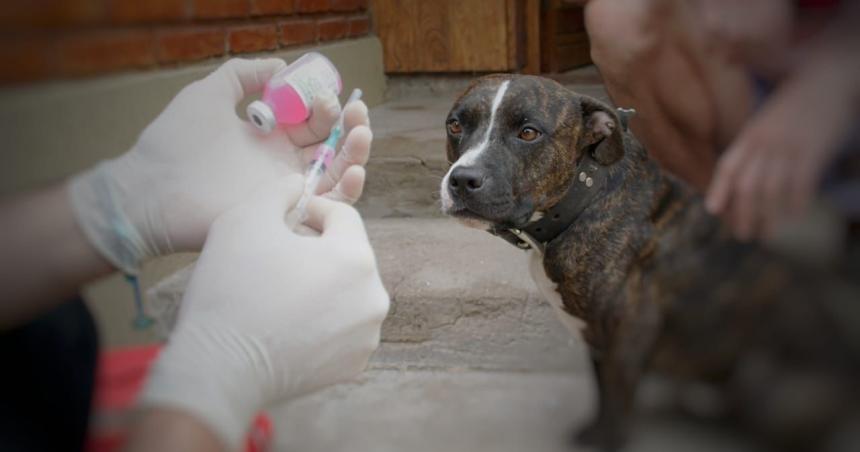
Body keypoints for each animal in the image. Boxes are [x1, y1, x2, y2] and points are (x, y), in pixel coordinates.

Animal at [440, 75, 856, 452]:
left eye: (528, 133)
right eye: (455, 125)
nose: (462, 180)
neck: (584, 201)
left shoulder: (628, 335)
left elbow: (617, 403)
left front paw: (609, 441)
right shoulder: (598, 340)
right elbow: (603, 395)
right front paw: (594, 434)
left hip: (762, 382)